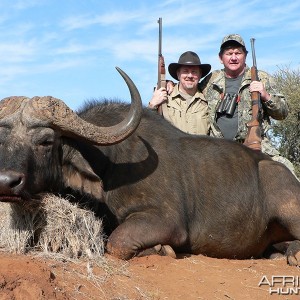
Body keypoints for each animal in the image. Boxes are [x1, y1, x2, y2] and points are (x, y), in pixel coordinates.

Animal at [0, 68, 300, 264]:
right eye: (3, 138)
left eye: (46, 140)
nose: (7, 182)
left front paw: (162, 250)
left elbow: (117, 243)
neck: (109, 166)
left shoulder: (165, 221)